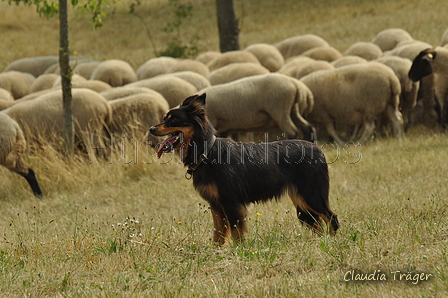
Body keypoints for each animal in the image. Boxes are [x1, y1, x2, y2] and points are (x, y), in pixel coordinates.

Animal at [149, 93, 338, 244]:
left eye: (172, 120)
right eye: (165, 118)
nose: (151, 128)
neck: (207, 152)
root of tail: (317, 148)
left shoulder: (231, 202)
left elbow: (236, 234)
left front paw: (239, 252)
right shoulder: (216, 205)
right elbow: (218, 234)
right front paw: (216, 253)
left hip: (311, 195)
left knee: (331, 217)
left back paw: (331, 242)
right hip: (301, 199)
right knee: (318, 224)